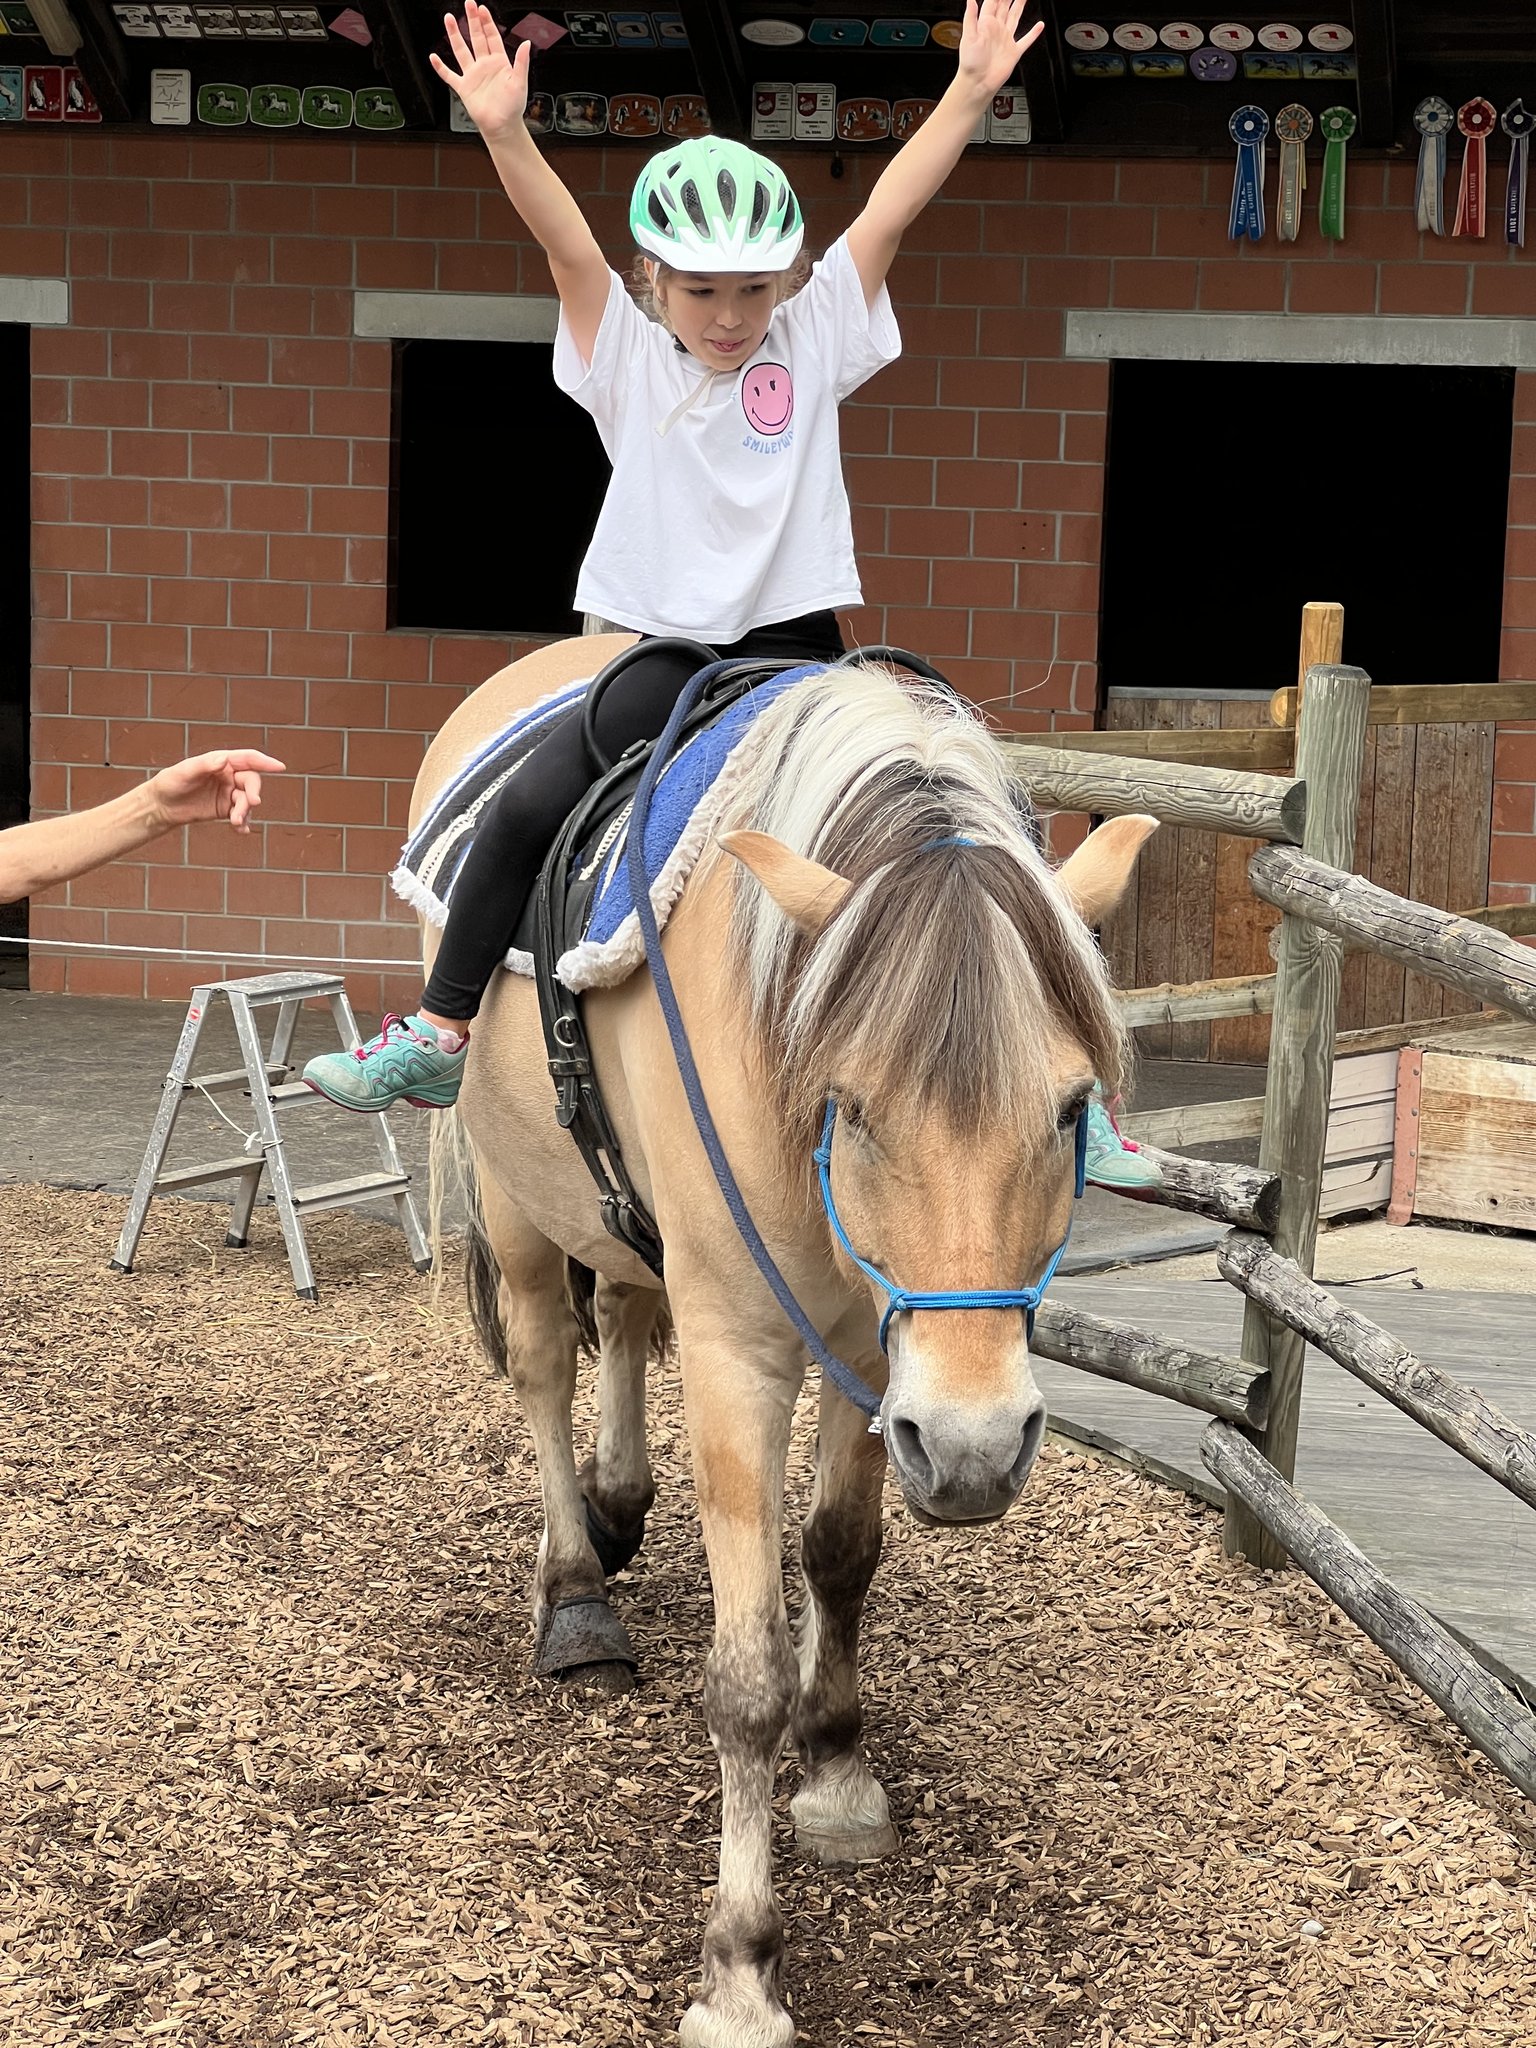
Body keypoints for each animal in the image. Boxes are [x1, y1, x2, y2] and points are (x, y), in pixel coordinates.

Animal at [416, 636, 1156, 2048]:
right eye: (850, 1106)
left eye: (1071, 1104)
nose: (977, 1449)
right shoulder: (744, 1356)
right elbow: (746, 1670)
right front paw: (741, 1969)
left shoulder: (881, 1346)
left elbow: (844, 1553)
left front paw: (840, 1770)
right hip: (515, 1193)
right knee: (543, 1362)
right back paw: (576, 1590)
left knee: (623, 1314)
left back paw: (620, 1503)